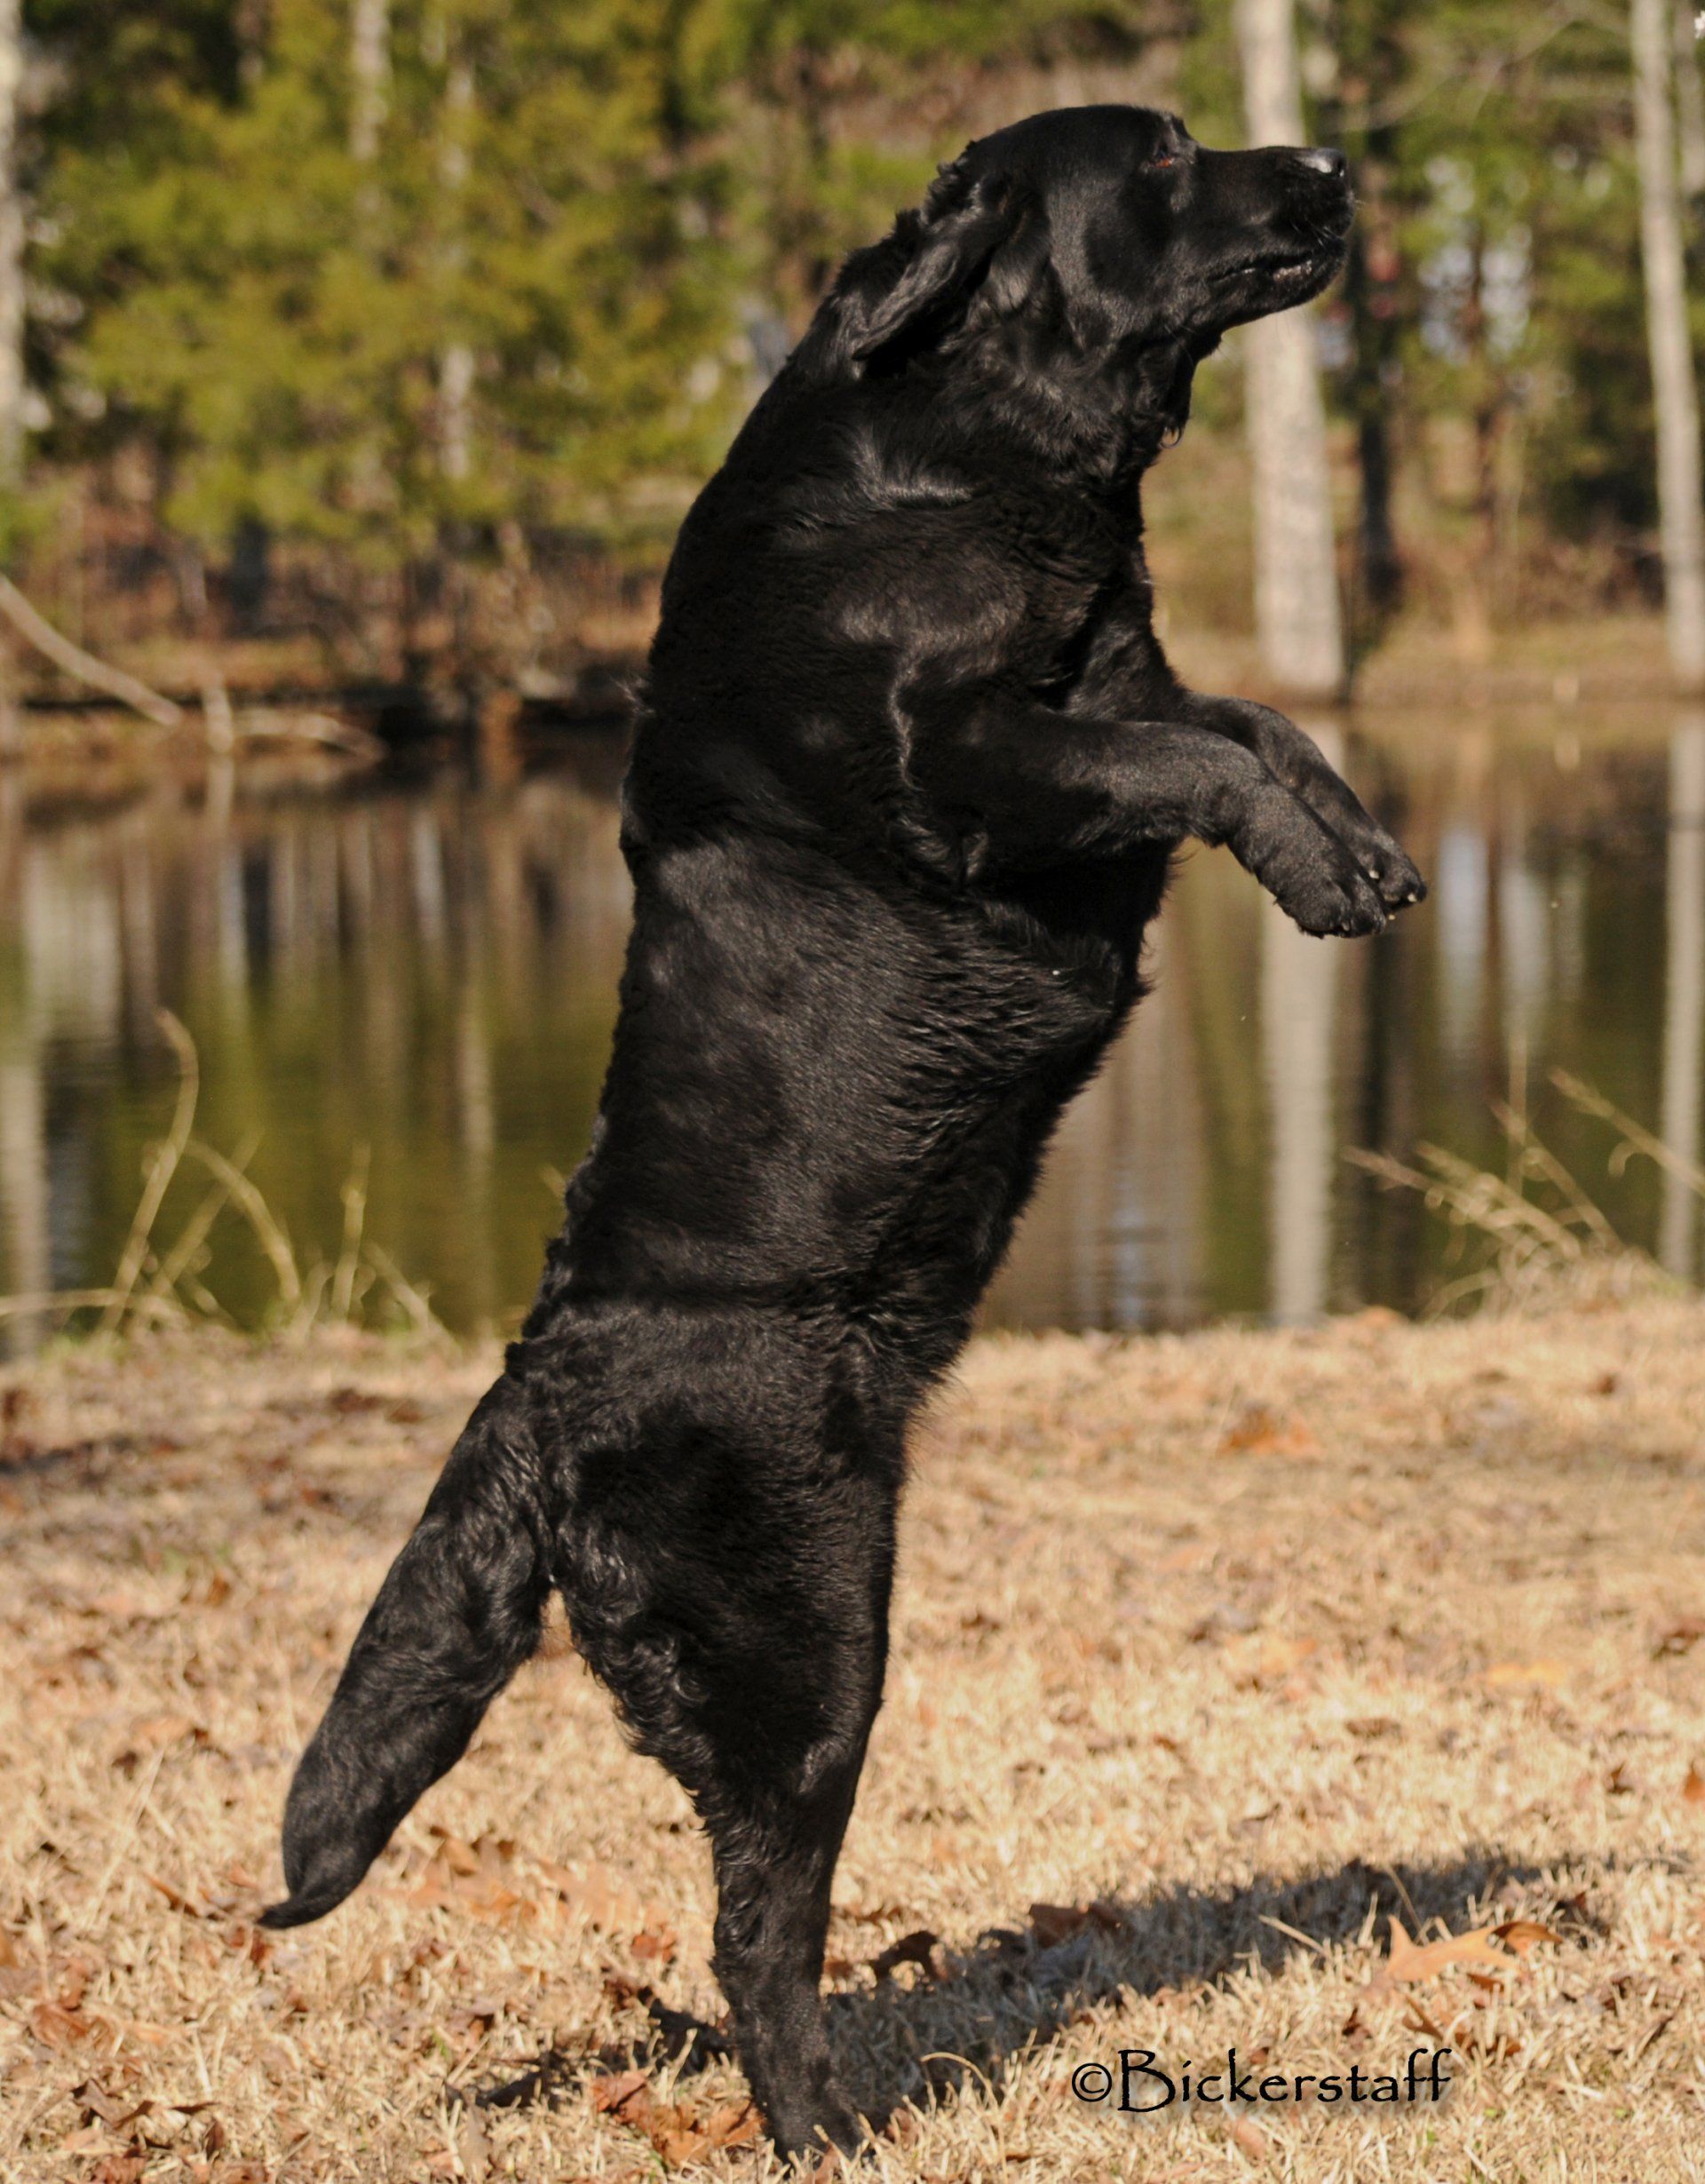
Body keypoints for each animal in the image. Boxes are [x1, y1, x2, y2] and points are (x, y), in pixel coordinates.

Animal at [263, 104, 1425, 2161]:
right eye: (1164, 154)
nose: (1332, 166)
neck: (965, 463)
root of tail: (539, 1390)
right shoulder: (977, 758)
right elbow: (1197, 753)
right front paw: (1317, 866)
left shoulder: (1114, 679)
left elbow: (1254, 718)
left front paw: (1352, 839)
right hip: (806, 1643)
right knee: (758, 1924)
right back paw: (837, 2120)